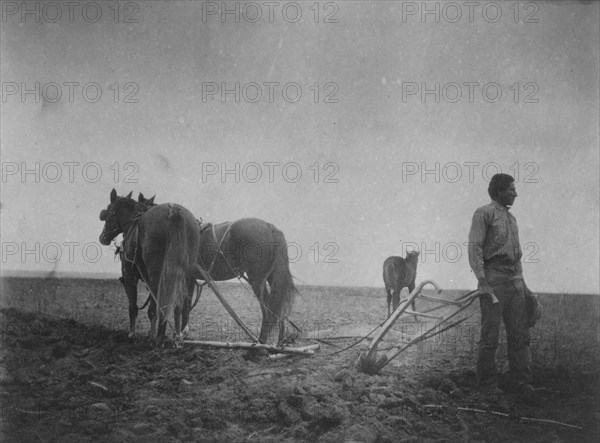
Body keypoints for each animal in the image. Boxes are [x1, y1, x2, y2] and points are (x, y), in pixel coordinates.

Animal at [99, 189, 199, 346]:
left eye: (109, 210)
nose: (103, 238)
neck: (133, 226)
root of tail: (173, 210)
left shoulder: (130, 277)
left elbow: (133, 307)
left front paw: (132, 334)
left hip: (156, 275)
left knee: (159, 305)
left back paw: (158, 339)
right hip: (187, 273)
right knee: (181, 303)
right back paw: (177, 336)